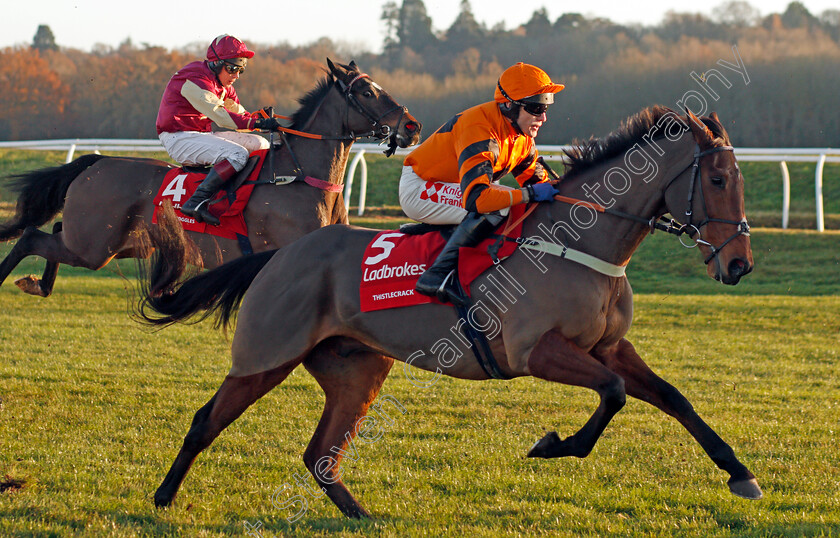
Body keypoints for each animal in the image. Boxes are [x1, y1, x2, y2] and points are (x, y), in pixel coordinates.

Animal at [0, 58, 420, 298]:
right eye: (367, 92)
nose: (412, 127)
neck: (300, 177)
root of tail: (96, 163)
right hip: (93, 247)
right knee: (31, 235)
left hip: (116, 244)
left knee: (53, 231)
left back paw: (39, 283)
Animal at [136, 105, 760, 516]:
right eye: (717, 178)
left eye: (738, 179)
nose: (739, 265)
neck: (578, 242)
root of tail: (279, 255)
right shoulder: (536, 351)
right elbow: (614, 393)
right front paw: (552, 445)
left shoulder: (607, 345)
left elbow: (672, 397)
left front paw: (741, 475)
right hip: (265, 356)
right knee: (205, 422)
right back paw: (163, 498)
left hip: (357, 368)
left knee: (320, 456)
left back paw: (361, 515)